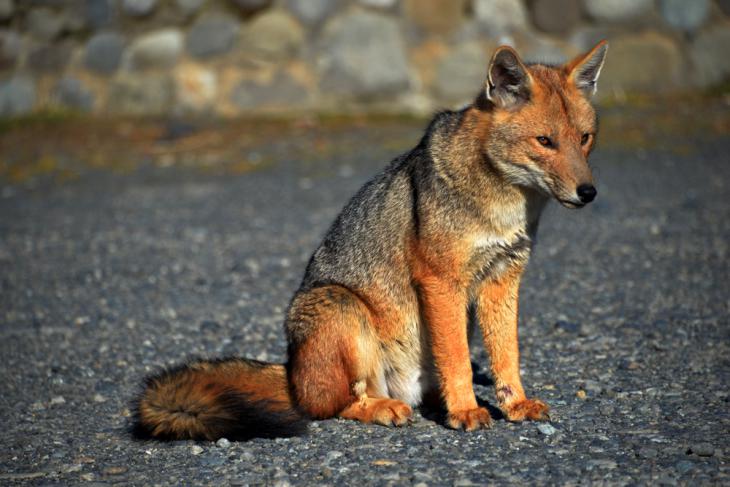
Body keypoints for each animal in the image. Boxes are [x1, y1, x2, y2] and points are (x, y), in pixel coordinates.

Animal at [134, 41, 604, 442]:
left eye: (584, 139)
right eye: (544, 141)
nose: (588, 192)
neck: (505, 206)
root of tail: (290, 370)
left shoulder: (503, 278)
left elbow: (507, 354)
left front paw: (515, 404)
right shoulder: (441, 281)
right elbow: (457, 361)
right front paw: (466, 411)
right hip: (342, 306)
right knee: (332, 405)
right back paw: (384, 409)